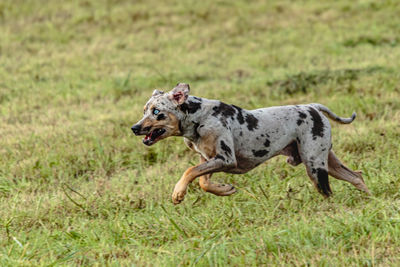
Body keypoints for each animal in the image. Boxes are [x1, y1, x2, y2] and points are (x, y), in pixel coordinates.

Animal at [131, 84, 368, 205]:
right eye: (144, 110)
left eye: (157, 112)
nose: (134, 127)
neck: (199, 117)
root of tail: (313, 107)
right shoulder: (209, 159)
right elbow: (202, 181)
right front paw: (224, 190)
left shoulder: (226, 159)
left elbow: (189, 172)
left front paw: (178, 193)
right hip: (328, 161)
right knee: (357, 176)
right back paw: (369, 198)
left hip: (315, 166)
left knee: (329, 193)